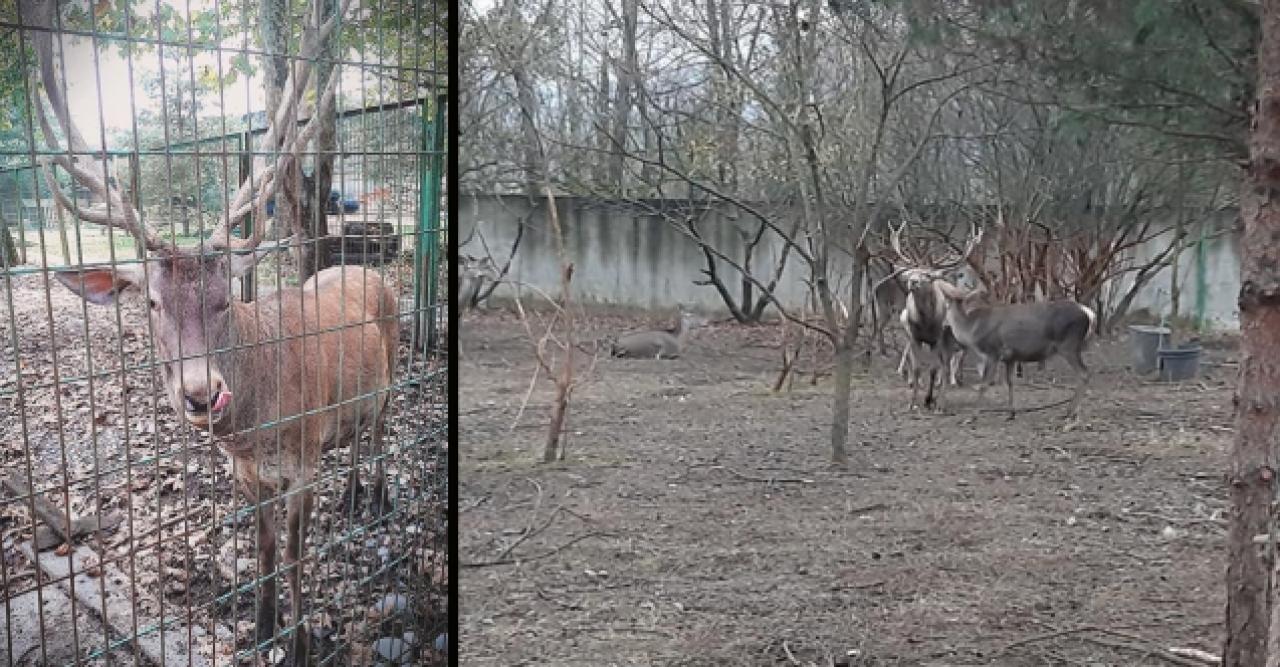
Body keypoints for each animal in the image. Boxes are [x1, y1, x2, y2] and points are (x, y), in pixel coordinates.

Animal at [26, 0, 378, 655]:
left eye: (223, 301)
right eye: (152, 302)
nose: (200, 393)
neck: (258, 429)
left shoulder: (303, 462)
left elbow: (296, 558)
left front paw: (300, 642)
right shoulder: (249, 475)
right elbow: (264, 551)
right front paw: (262, 630)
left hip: (390, 387)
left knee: (383, 438)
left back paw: (378, 495)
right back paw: (355, 497)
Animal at [936, 281, 1095, 419]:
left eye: (944, 305)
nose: (942, 324)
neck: (972, 331)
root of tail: (1089, 313)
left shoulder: (992, 352)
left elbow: (984, 384)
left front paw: (972, 416)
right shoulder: (1010, 357)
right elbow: (1010, 382)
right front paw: (1011, 413)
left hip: (1069, 345)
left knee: (1084, 373)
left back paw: (1071, 412)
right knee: (1084, 373)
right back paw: (1071, 411)